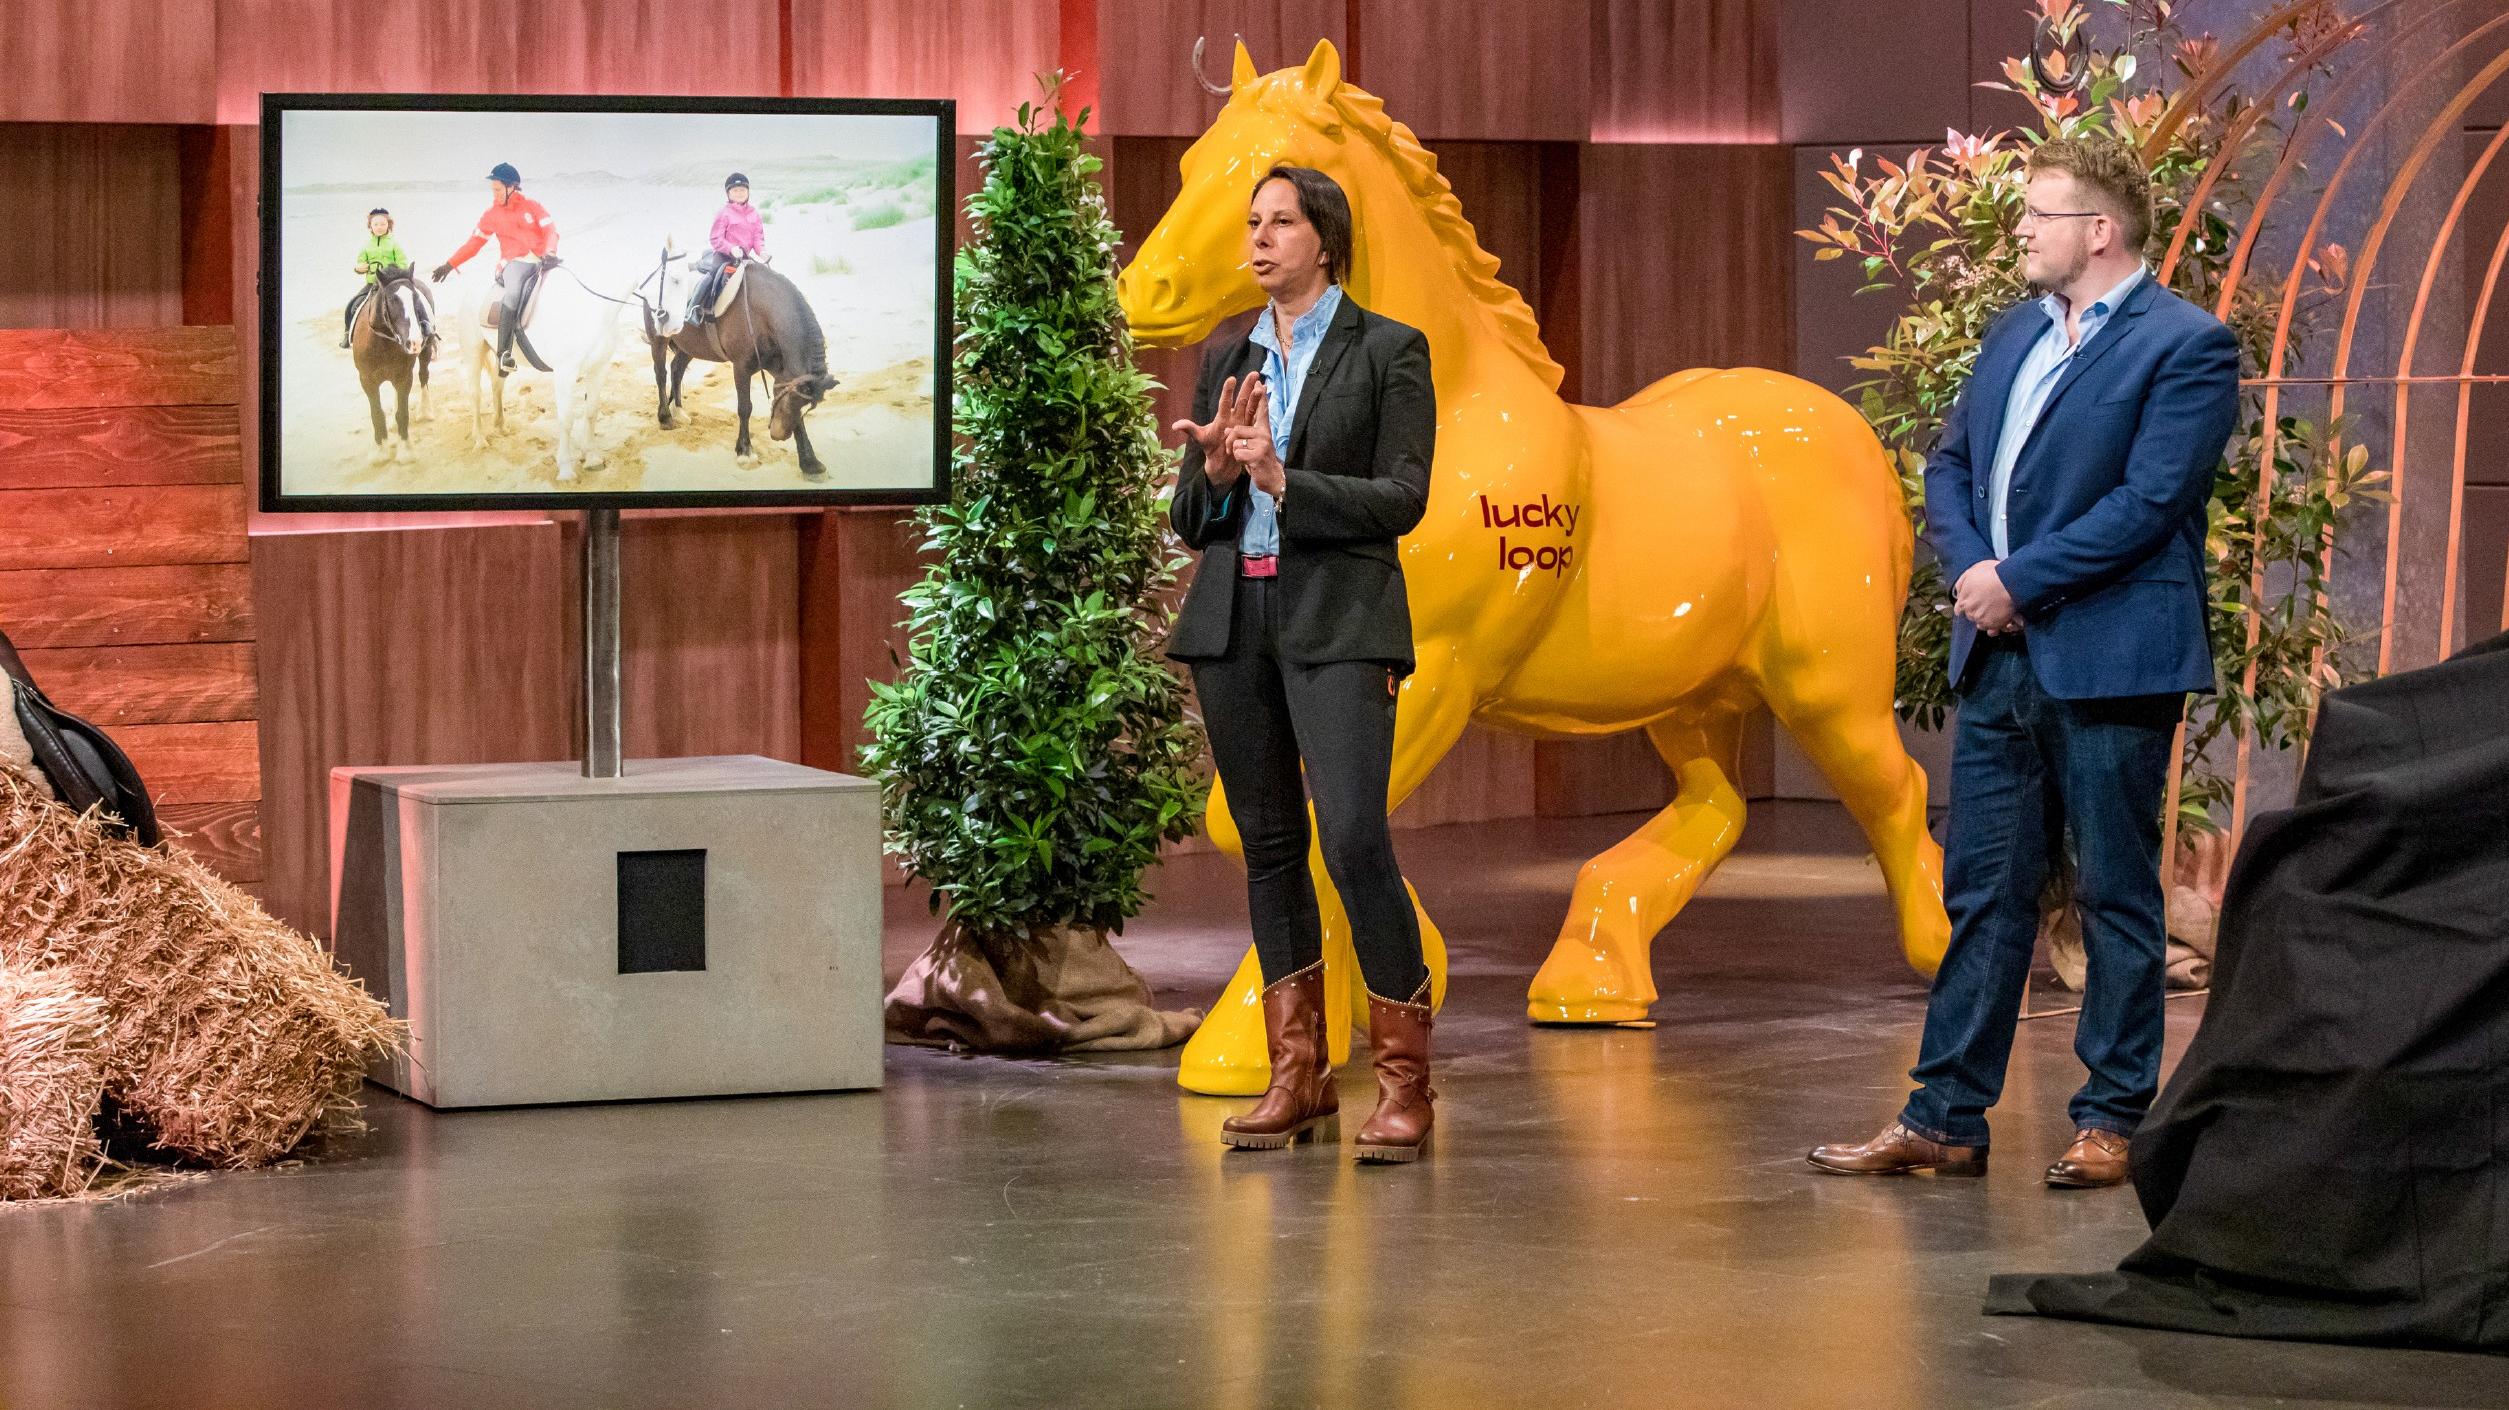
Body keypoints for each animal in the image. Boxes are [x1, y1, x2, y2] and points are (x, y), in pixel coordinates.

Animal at [351, 263, 434, 461]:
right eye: (391, 300)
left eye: (415, 297)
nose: (414, 342)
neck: (383, 343)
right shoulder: (367, 380)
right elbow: (376, 414)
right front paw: (380, 450)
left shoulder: (404, 376)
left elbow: (402, 413)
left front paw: (406, 450)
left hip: (425, 353)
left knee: (423, 375)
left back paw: (425, 411)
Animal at [439, 259, 624, 481]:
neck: (595, 304)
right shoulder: (565, 372)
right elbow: (566, 419)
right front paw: (565, 469)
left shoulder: (600, 367)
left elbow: (591, 412)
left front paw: (592, 458)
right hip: (473, 351)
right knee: (475, 394)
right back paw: (480, 439)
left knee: (497, 385)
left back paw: (501, 426)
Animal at [647, 263, 843, 476]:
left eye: (805, 403)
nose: (779, 435)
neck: (762, 313)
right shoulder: (741, 367)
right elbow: (745, 408)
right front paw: (745, 451)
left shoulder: (780, 371)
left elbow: (796, 417)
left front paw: (809, 461)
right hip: (659, 338)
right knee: (661, 374)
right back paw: (665, 417)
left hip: (690, 346)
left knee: (677, 370)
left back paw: (678, 411)